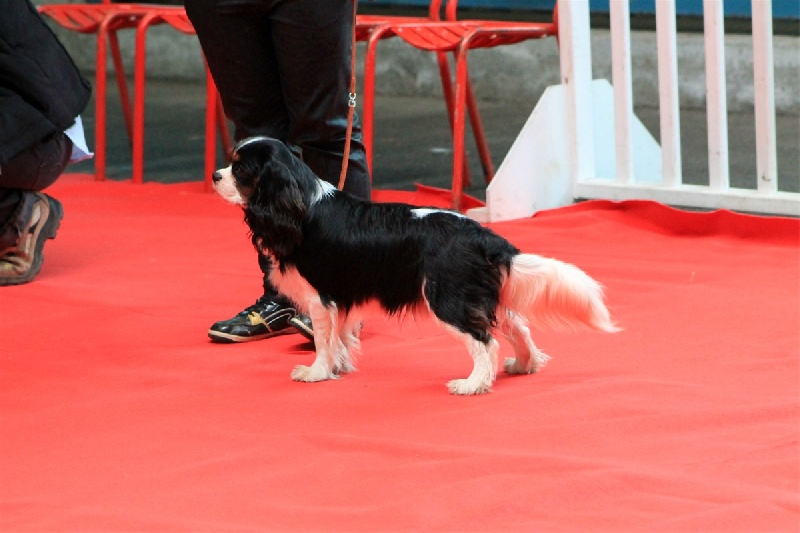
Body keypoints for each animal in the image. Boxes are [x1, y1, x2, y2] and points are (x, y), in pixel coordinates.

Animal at [212, 136, 620, 394]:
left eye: (240, 169)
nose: (215, 175)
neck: (302, 205)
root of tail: (484, 236)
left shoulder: (321, 299)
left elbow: (324, 340)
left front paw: (316, 373)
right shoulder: (342, 298)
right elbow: (341, 338)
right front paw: (338, 368)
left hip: (448, 298)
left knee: (484, 341)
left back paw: (473, 384)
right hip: (478, 293)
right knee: (516, 327)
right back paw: (523, 365)